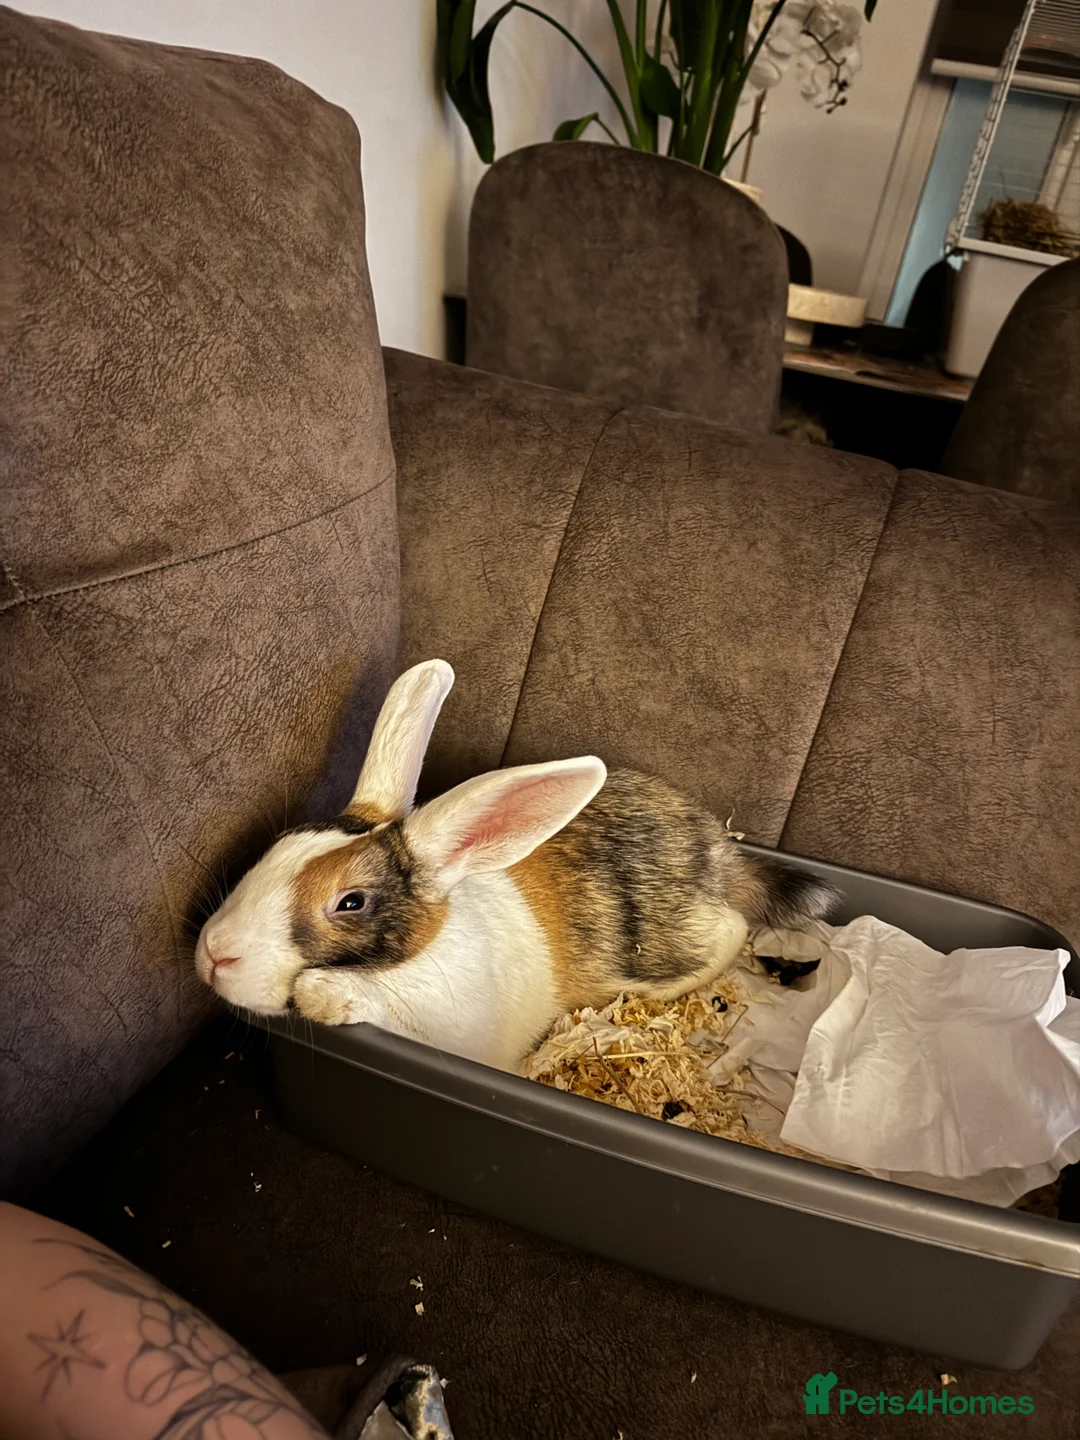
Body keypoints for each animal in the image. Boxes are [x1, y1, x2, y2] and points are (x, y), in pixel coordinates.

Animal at [195, 659, 838, 1070]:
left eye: (350, 902)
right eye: (279, 845)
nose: (214, 954)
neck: (417, 959)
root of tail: (720, 854)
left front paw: (323, 994)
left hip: (682, 948)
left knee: (731, 932)